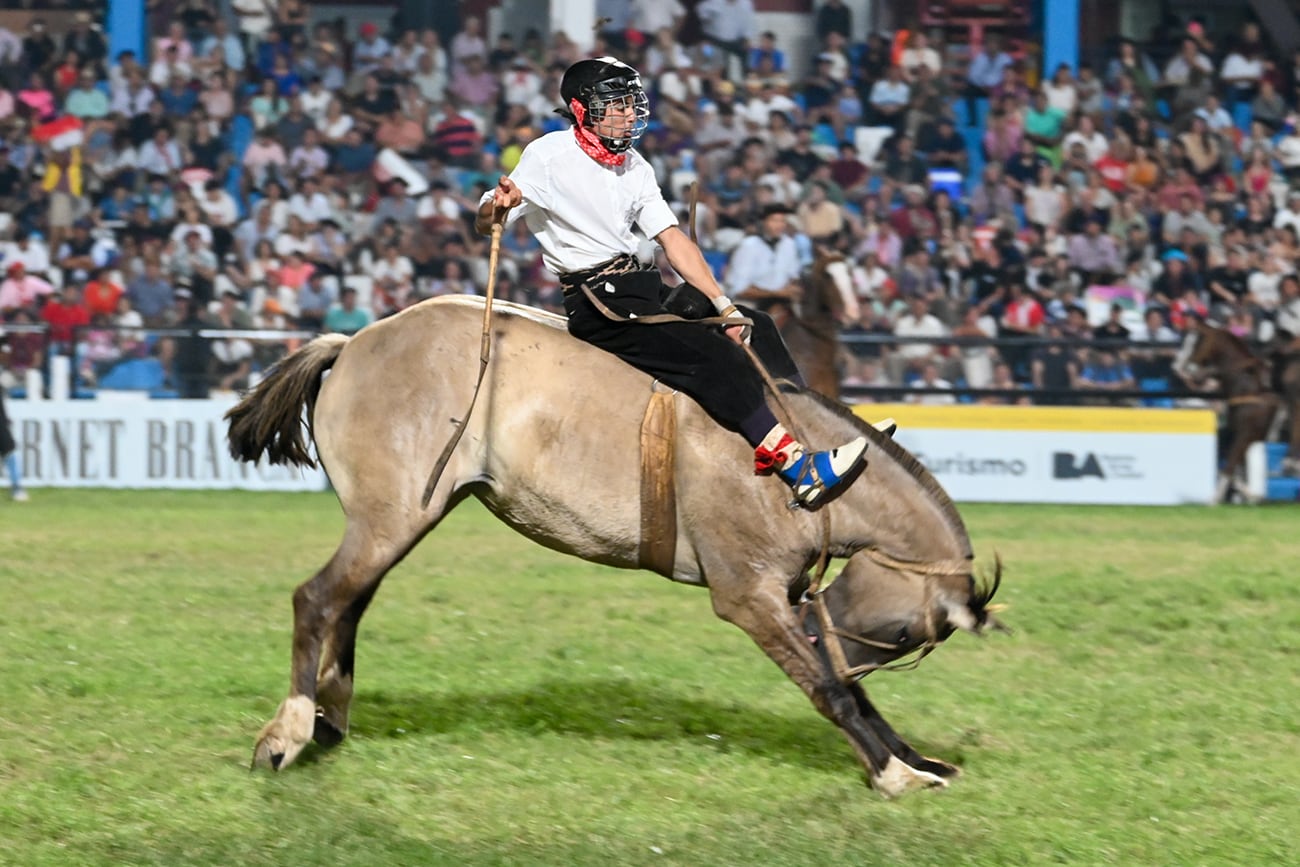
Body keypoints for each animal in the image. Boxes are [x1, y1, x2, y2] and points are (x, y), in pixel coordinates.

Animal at [226, 298, 1003, 800]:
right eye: (903, 633)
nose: (822, 629)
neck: (805, 464)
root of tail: (353, 343)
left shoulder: (787, 598)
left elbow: (850, 688)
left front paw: (920, 759)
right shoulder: (749, 597)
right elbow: (834, 688)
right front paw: (893, 773)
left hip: (402, 519)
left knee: (348, 603)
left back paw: (328, 717)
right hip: (389, 519)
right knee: (317, 599)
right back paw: (287, 732)